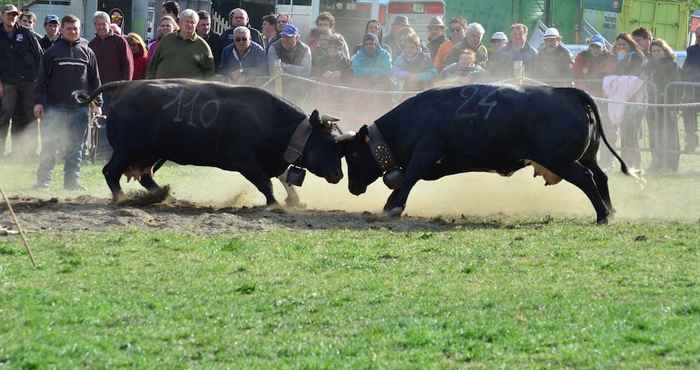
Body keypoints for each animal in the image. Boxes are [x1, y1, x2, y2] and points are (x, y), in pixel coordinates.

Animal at [73, 79, 342, 204]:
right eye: (329, 144)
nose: (339, 175)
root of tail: (125, 86)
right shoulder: (246, 163)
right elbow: (266, 184)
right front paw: (275, 204)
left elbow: (284, 177)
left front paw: (294, 200)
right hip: (126, 150)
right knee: (110, 172)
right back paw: (122, 198)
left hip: (151, 154)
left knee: (145, 177)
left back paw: (165, 195)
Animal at [336, 84, 636, 223]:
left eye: (353, 155)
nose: (351, 187)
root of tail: (568, 93)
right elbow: (404, 178)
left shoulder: (424, 154)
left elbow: (408, 178)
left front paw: (393, 206)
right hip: (585, 156)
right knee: (600, 176)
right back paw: (611, 210)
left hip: (561, 161)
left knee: (586, 178)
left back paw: (602, 215)